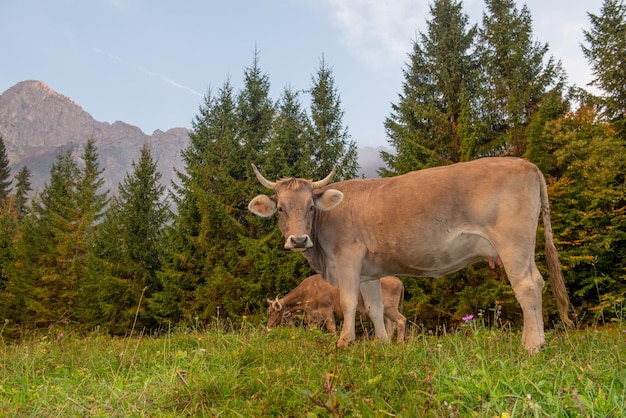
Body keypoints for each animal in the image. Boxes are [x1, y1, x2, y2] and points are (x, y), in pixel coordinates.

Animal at [264, 272, 404, 342]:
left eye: (270, 312)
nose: (267, 329)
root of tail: (396, 279)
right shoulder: (314, 318)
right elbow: (311, 331)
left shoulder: (327, 311)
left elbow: (332, 330)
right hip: (385, 313)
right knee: (390, 326)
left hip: (389, 308)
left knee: (401, 320)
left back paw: (399, 344)